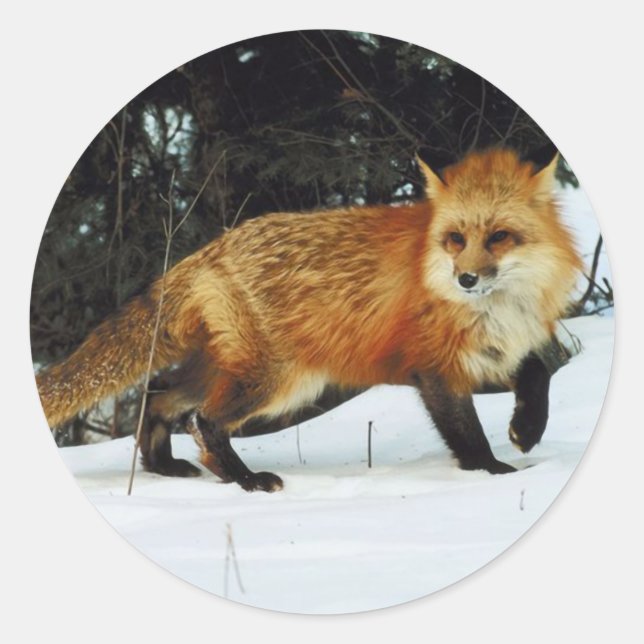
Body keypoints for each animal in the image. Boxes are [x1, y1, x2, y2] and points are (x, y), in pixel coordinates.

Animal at [35, 146, 582, 492]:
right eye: (455, 239)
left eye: (499, 237)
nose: (465, 278)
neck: (496, 308)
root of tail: (212, 248)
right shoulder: (434, 367)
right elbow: (467, 434)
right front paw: (493, 474)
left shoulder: (506, 346)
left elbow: (539, 372)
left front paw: (527, 430)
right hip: (278, 381)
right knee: (203, 421)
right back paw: (245, 481)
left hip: (231, 371)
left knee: (159, 395)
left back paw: (164, 469)